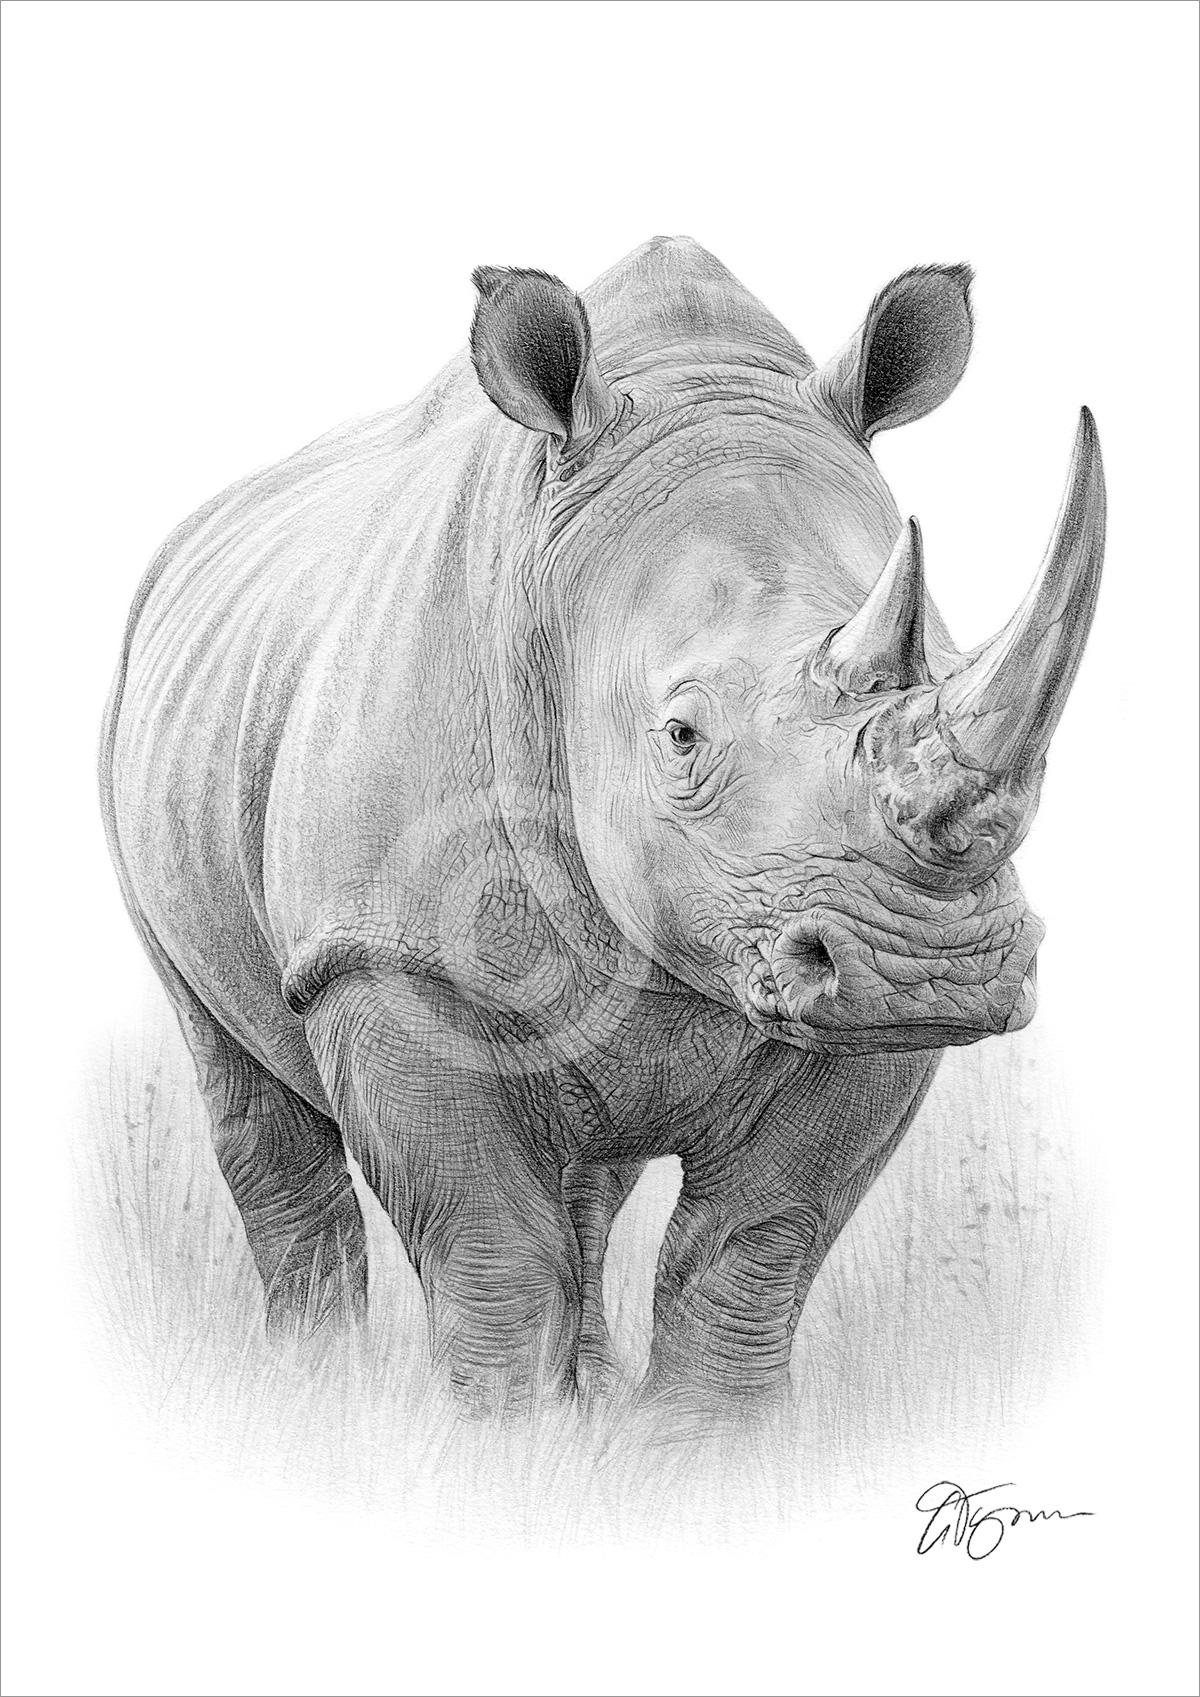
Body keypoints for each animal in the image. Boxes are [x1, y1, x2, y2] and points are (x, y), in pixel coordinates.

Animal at [100, 236, 1105, 1418]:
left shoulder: (860, 1022)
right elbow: (494, 1251)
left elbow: (759, 1245)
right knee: (242, 1083)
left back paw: (591, 1402)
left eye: (953, 666)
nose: (931, 967)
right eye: (680, 734)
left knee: (595, 1170)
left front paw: (700, 1452)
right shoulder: (382, 956)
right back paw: (310, 1392)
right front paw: (504, 1443)